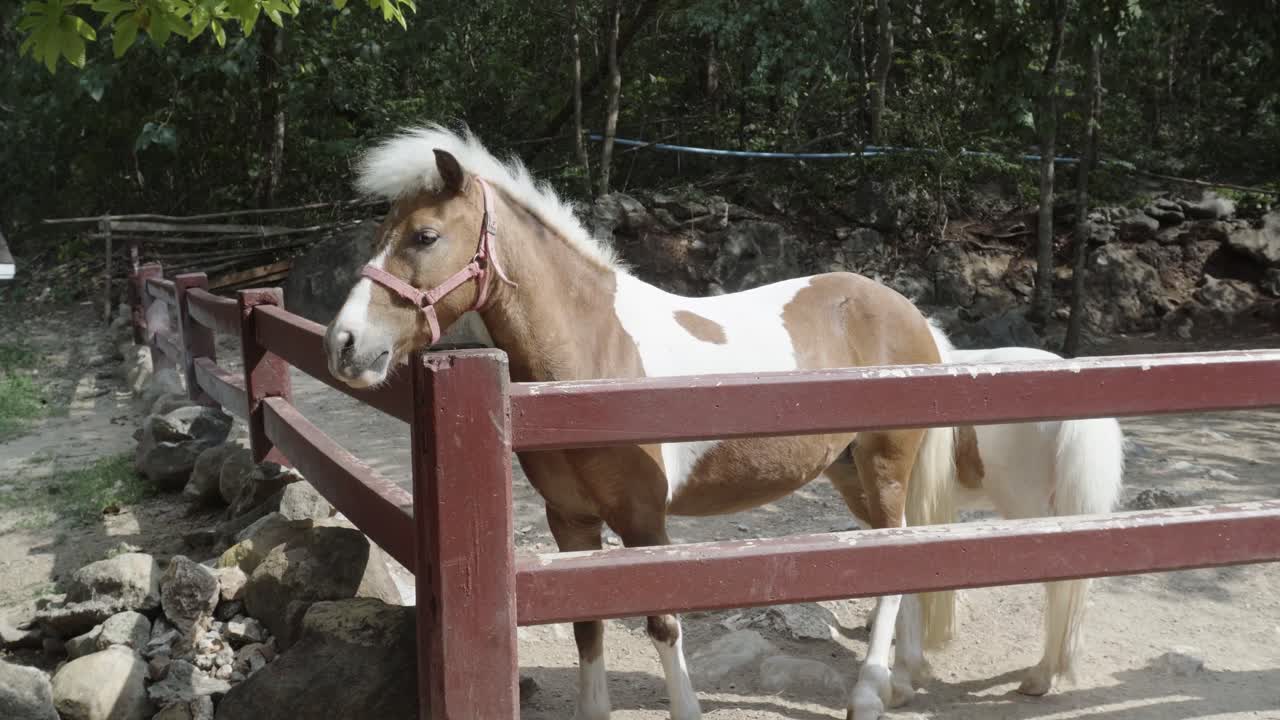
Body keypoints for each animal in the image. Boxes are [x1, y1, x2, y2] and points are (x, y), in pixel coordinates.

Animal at [322, 125, 956, 720]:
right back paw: (902, 680)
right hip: (850, 474)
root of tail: (910, 314)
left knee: (894, 565)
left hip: (883, 463)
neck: (593, 360)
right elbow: (586, 623)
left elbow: (662, 622)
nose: (344, 344)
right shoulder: (570, 521)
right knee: (904, 549)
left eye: (425, 236)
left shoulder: (643, 519)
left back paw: (869, 694)